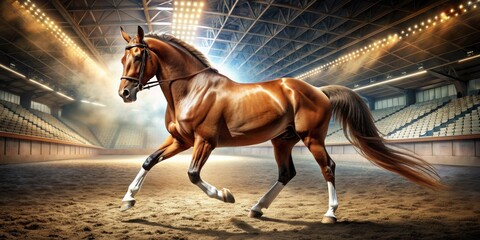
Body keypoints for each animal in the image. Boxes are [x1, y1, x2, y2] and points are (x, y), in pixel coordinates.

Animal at [117, 26, 442, 223]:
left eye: (139, 55)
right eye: (122, 58)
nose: (125, 93)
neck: (192, 89)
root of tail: (319, 91)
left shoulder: (204, 141)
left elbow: (193, 174)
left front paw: (225, 195)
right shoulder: (180, 140)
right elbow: (148, 161)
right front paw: (128, 199)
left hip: (312, 138)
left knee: (328, 167)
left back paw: (330, 214)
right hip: (282, 140)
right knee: (287, 173)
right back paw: (257, 208)